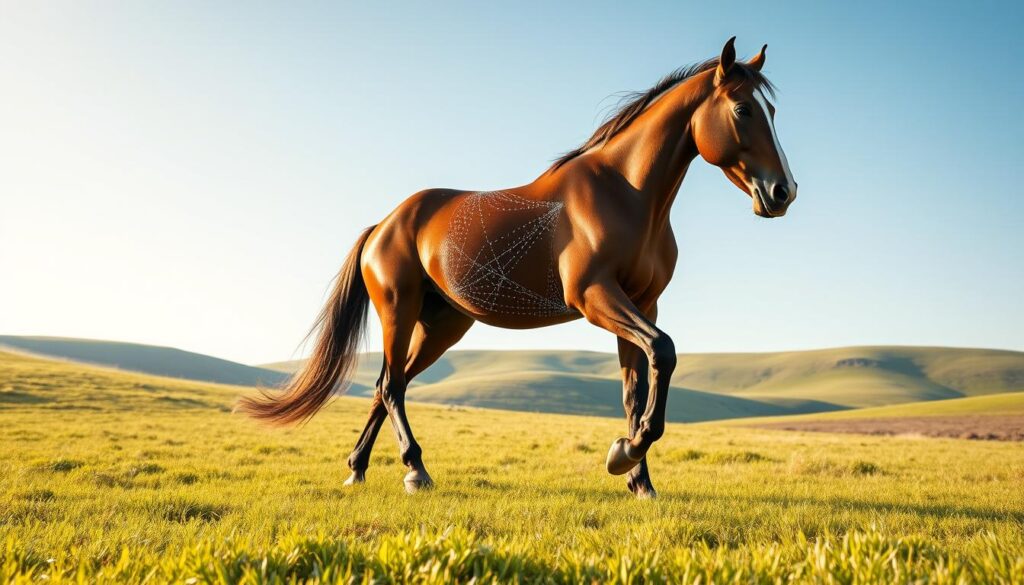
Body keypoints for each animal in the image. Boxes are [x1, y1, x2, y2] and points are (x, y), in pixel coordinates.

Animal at [239, 37, 797, 498]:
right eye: (743, 109)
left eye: (771, 109)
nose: (782, 192)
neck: (626, 193)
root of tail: (384, 224)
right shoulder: (595, 297)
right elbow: (664, 350)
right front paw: (625, 455)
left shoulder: (642, 302)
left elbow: (635, 391)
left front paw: (638, 478)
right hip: (400, 310)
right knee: (391, 386)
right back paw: (416, 472)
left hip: (442, 325)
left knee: (385, 386)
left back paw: (358, 468)